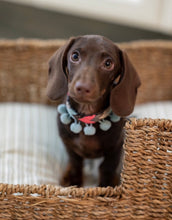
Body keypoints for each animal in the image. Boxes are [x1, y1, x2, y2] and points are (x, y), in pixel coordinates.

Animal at [46, 35, 140, 186]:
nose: (83, 87)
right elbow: (75, 163)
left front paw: (106, 186)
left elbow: (107, 167)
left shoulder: (116, 148)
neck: (88, 117)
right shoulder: (69, 145)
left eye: (108, 63)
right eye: (75, 56)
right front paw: (74, 182)